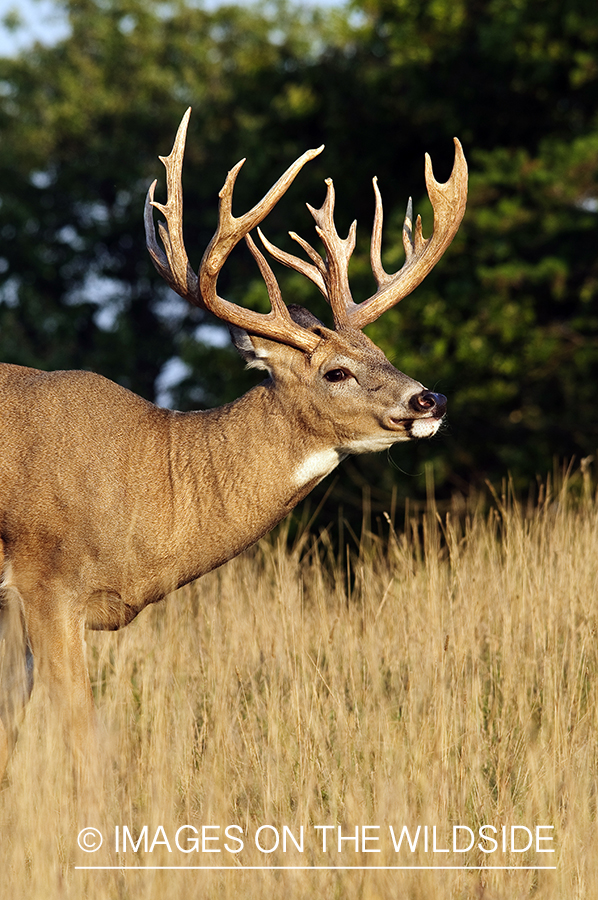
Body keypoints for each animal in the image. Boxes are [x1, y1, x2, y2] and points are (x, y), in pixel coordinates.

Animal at [0, 109, 468, 776]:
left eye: (380, 352)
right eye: (337, 372)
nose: (431, 400)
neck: (148, 480)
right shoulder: (45, 581)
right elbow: (81, 736)